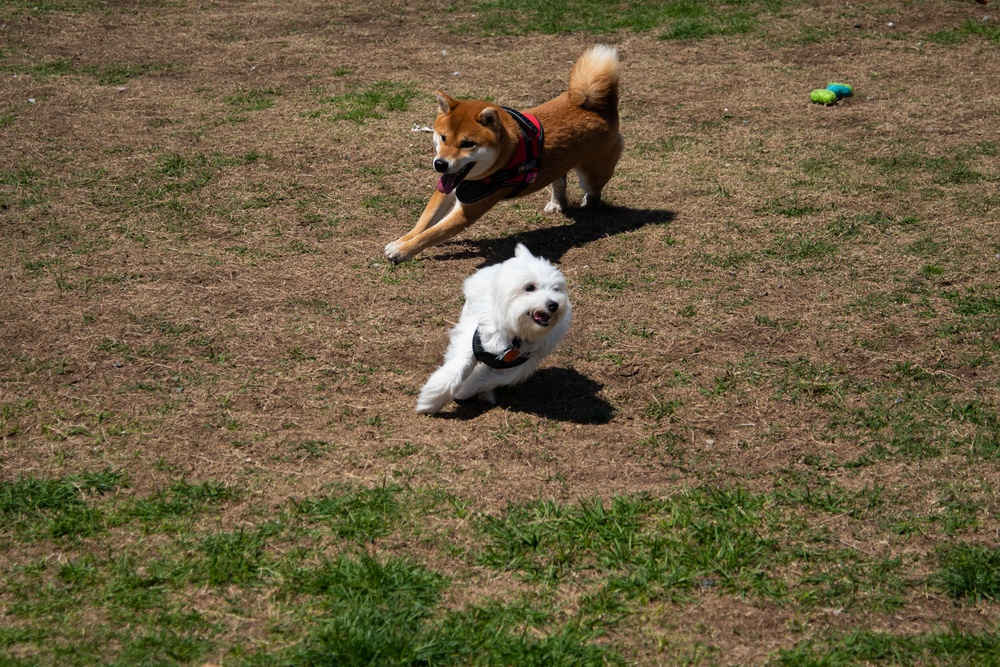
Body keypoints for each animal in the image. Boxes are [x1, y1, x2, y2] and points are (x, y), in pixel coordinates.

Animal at [384, 43, 624, 264]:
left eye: (467, 144)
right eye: (443, 138)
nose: (440, 164)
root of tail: (598, 107)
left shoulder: (467, 212)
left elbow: (433, 233)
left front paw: (402, 251)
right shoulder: (446, 188)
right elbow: (423, 223)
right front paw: (402, 240)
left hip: (593, 174)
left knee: (593, 190)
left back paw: (589, 204)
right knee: (559, 178)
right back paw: (557, 202)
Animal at [414, 245, 572, 412]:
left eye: (556, 289)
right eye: (529, 287)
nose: (554, 305)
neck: (515, 334)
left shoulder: (521, 364)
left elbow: (487, 379)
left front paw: (465, 389)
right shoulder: (473, 340)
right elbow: (459, 367)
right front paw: (431, 400)